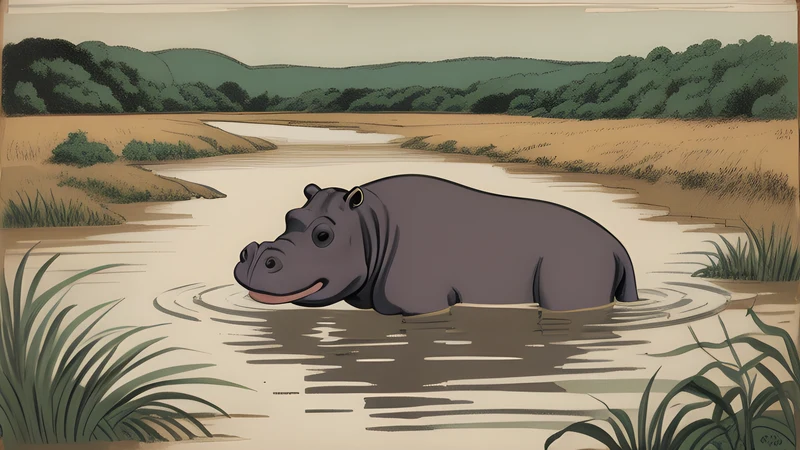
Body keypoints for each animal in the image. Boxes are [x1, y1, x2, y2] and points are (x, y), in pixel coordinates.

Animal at [233, 174, 640, 316]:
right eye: (289, 216)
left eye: (323, 236)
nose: (254, 257)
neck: (368, 225)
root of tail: (618, 245)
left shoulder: (423, 304)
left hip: (576, 262)